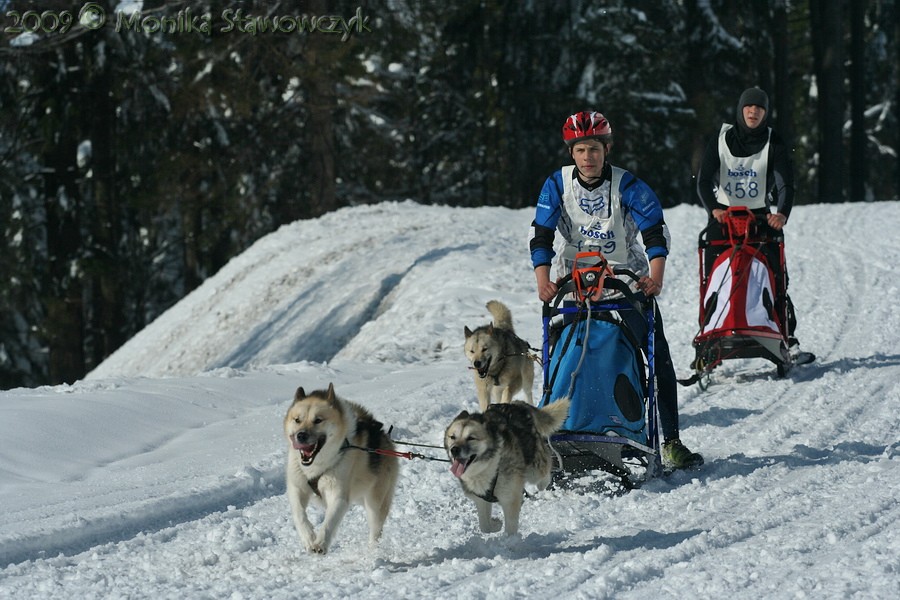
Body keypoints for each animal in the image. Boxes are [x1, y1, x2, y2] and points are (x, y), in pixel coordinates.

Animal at [282, 384, 394, 552]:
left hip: (375, 503)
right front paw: (309, 537)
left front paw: (321, 542)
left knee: (376, 529)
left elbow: (329, 521)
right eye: (297, 420)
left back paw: (372, 550)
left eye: (318, 420)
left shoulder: (338, 496)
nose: (300, 435)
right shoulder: (297, 488)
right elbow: (299, 513)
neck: (317, 465)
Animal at [442, 398, 568, 536]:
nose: (454, 449)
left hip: (535, 468)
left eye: (471, 438)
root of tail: (517, 403)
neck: (487, 466)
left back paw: (543, 482)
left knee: (545, 468)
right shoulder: (481, 499)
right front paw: (496, 524)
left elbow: (510, 527)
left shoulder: (510, 499)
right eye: (452, 437)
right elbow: (485, 527)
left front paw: (509, 540)